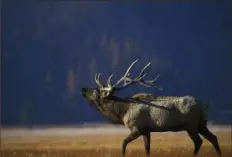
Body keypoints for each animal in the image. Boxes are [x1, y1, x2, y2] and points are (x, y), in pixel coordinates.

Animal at [80, 58, 222, 157]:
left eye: (95, 91)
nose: (83, 88)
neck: (122, 111)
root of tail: (204, 105)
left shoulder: (136, 128)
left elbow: (123, 143)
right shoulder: (146, 131)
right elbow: (147, 149)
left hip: (191, 125)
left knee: (199, 141)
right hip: (201, 124)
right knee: (213, 138)